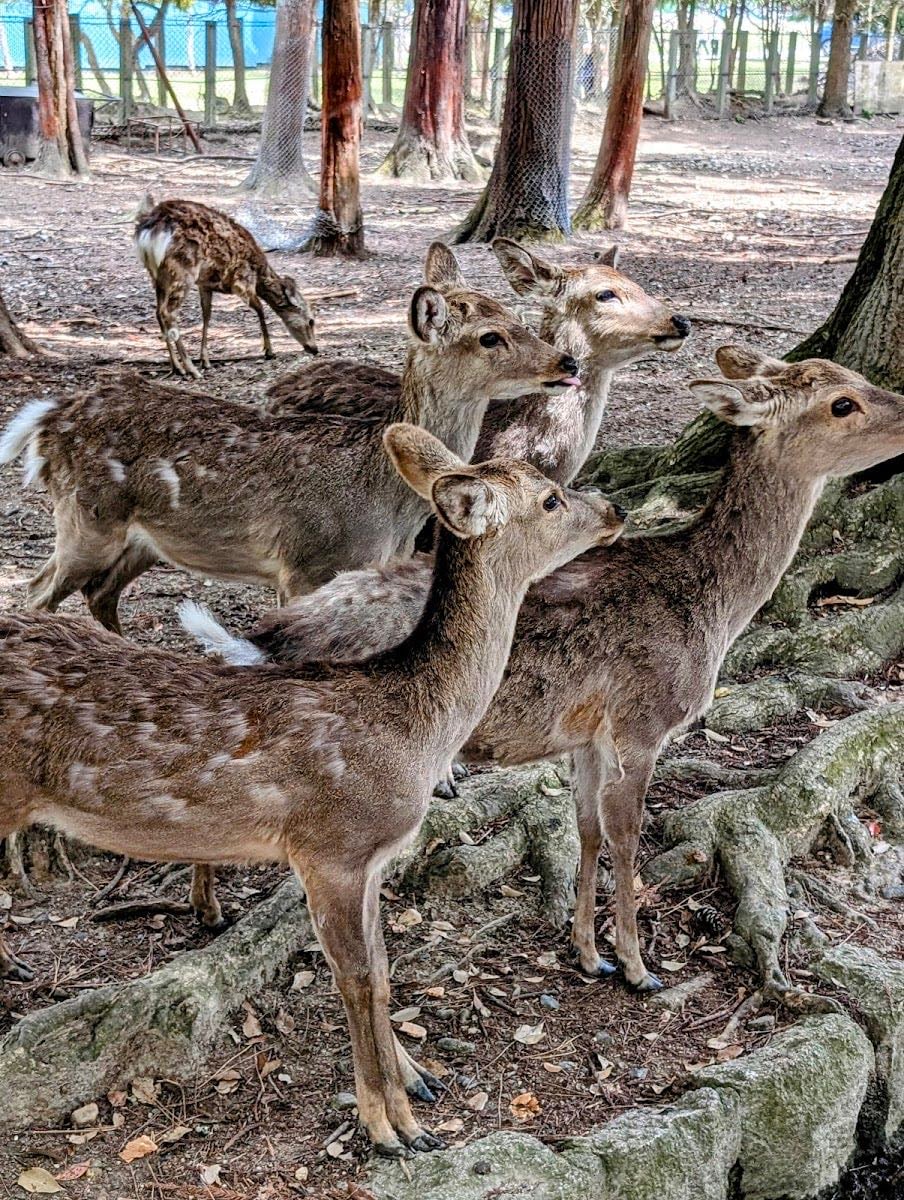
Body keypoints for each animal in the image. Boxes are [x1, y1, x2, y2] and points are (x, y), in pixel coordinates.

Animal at [0, 425, 625, 1158]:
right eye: (552, 498)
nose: (614, 508)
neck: (415, 729)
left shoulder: (373, 858)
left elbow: (382, 969)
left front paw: (415, 1090)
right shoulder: (331, 846)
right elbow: (354, 979)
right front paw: (391, 1126)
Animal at [1, 243, 580, 644]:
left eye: (516, 317)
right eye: (489, 337)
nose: (567, 362)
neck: (384, 503)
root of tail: (46, 421)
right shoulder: (307, 564)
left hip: (141, 540)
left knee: (98, 593)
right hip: (86, 519)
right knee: (34, 593)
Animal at [134, 196, 319, 378]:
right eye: (311, 321)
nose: (315, 349)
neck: (259, 272)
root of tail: (149, 231)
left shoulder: (205, 284)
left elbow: (207, 315)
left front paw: (205, 359)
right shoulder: (242, 279)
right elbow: (260, 308)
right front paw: (269, 351)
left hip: (157, 274)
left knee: (158, 312)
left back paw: (177, 367)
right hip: (183, 268)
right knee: (168, 312)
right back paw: (191, 369)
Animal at [184, 349, 904, 994]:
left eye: (852, 376)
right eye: (842, 402)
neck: (713, 608)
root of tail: (261, 640)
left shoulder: (587, 734)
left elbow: (586, 829)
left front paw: (589, 955)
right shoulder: (643, 721)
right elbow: (626, 834)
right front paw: (639, 967)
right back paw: (212, 910)